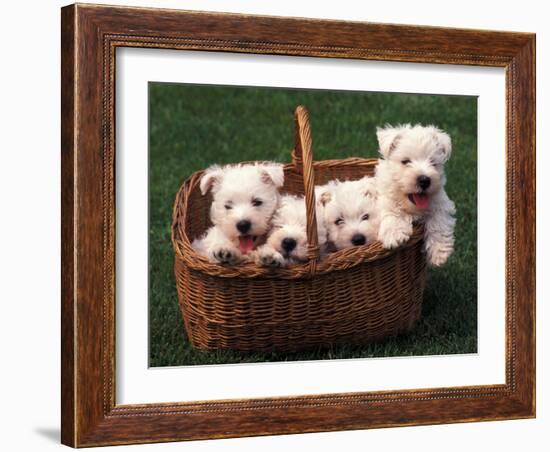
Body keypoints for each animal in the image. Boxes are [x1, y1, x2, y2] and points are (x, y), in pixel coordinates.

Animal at [378, 122, 460, 266]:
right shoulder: (385, 197)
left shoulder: (440, 202)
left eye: (433, 163)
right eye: (405, 161)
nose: (424, 180)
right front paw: (395, 235)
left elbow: (438, 221)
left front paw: (439, 253)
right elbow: (391, 210)